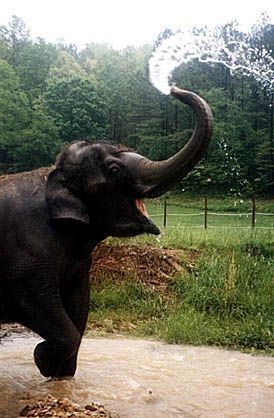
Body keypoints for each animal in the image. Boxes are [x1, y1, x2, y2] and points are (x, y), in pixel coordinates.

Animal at [0, 86, 212, 378]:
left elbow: (79, 309)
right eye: (114, 170)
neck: (50, 175)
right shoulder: (24, 264)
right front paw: (42, 360)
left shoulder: (78, 267)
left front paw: (60, 375)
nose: (173, 88)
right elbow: (46, 311)